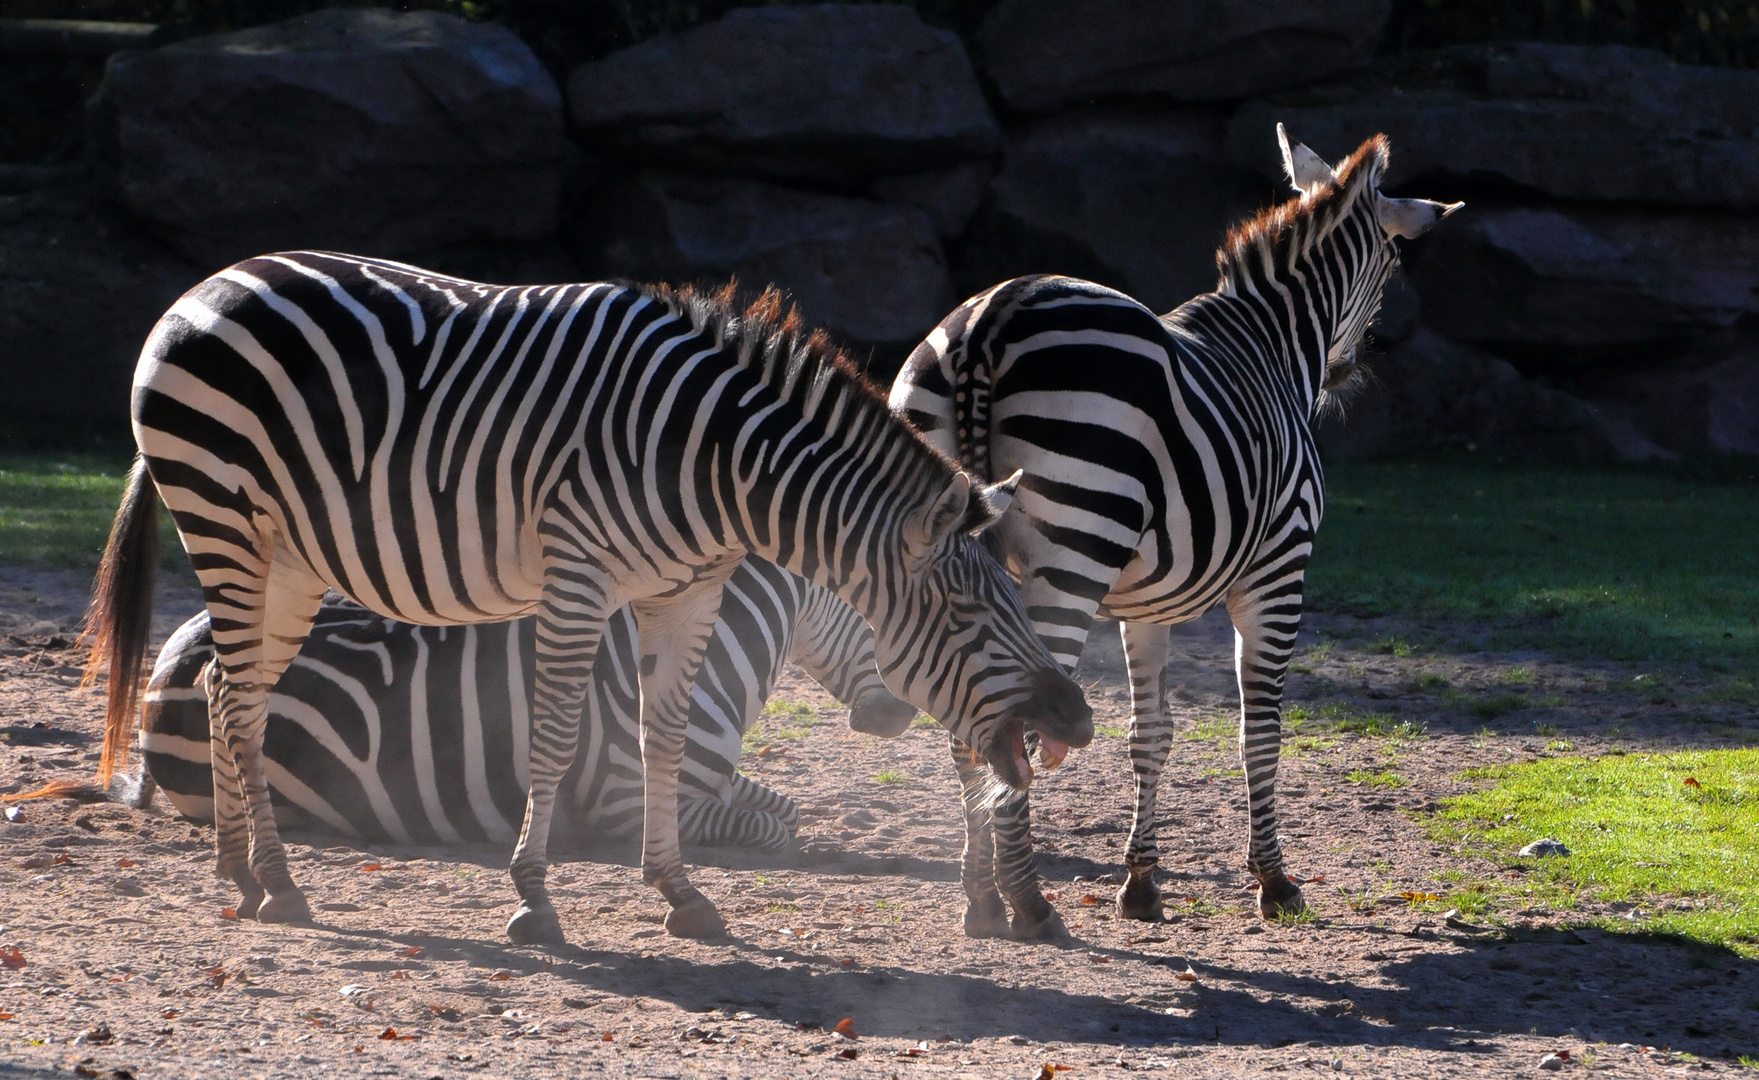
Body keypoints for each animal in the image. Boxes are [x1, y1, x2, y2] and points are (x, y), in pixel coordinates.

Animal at [130, 559, 914, 854]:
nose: (907, 716)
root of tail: (178, 643)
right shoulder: (627, 800)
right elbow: (772, 829)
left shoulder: (711, 781)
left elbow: (788, 808)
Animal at [893, 124, 1456, 942]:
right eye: (1389, 268)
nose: (1342, 372)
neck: (1272, 342)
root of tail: (991, 318)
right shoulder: (1278, 572)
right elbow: (1260, 728)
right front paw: (1274, 881)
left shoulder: (1145, 606)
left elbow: (1150, 732)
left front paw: (1140, 884)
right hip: (1072, 549)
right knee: (1014, 715)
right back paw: (1028, 903)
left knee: (971, 717)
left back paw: (982, 900)